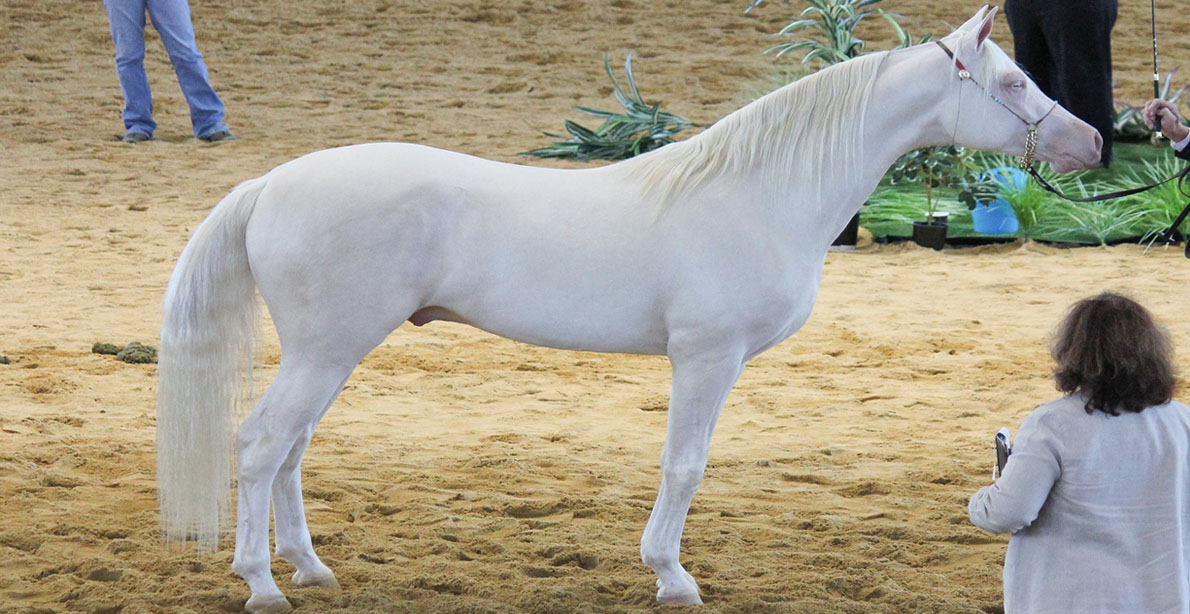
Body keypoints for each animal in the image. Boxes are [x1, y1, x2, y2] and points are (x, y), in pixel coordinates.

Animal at [155, 7, 1094, 609]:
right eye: (1014, 79)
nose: (1088, 141)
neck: (761, 194)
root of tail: (272, 182)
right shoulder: (706, 358)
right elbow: (685, 467)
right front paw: (673, 579)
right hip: (327, 349)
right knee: (262, 444)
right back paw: (263, 585)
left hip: (332, 352)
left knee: (290, 452)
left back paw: (310, 571)